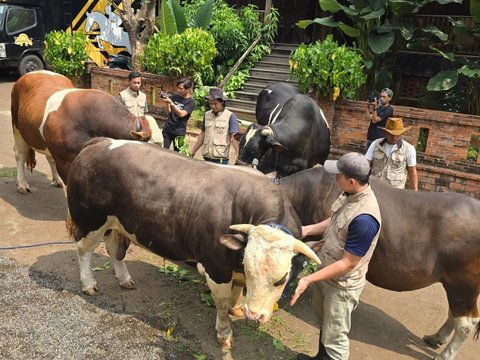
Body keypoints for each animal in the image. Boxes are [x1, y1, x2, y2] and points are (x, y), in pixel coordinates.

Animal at [10, 70, 152, 194]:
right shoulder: (64, 160)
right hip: (17, 128)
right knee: (20, 154)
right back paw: (22, 184)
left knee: (49, 157)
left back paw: (56, 180)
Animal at [66, 137, 322, 348]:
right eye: (251, 271)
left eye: (281, 280)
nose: (254, 315)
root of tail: (102, 142)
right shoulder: (216, 267)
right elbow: (221, 302)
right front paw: (224, 332)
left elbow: (235, 295)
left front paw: (237, 308)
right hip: (90, 219)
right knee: (83, 249)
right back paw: (88, 284)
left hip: (117, 223)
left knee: (114, 251)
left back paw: (124, 279)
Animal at [280, 167, 480, 360]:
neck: (313, 193)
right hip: (456, 286)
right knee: (456, 314)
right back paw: (435, 338)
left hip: (462, 285)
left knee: (467, 324)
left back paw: (444, 355)